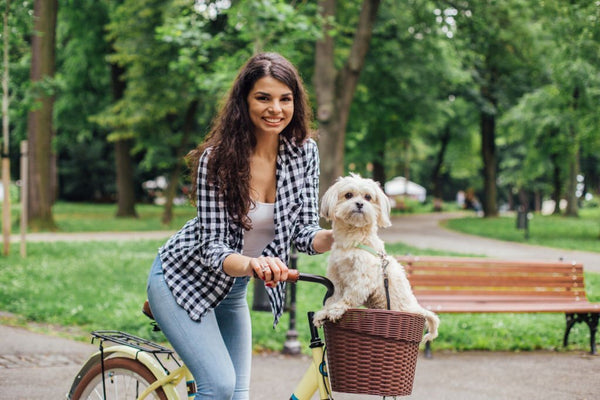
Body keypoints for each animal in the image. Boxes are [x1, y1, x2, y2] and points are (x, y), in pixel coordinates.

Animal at [314, 173, 440, 342]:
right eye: (348, 195)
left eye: (368, 197)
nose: (360, 204)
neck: (353, 240)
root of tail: (417, 310)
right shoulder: (337, 276)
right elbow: (333, 296)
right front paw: (324, 312)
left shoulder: (362, 278)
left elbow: (349, 296)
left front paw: (336, 310)